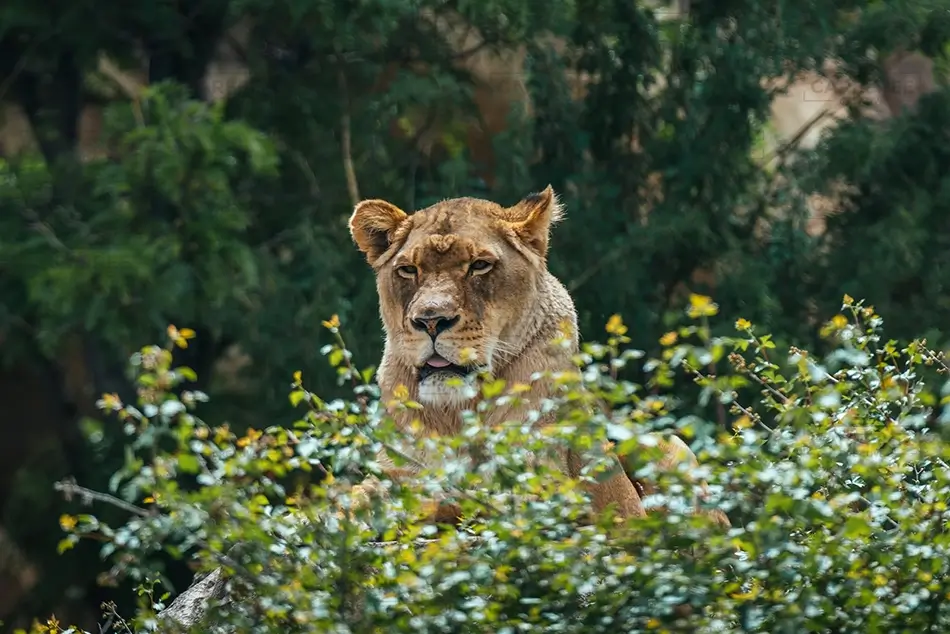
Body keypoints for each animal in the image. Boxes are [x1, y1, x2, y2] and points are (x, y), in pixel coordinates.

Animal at [347, 185, 729, 528]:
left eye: (480, 265)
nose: (430, 320)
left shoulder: (547, 487)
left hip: (668, 445)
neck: (456, 413)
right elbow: (366, 492)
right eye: (408, 270)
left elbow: (469, 496)